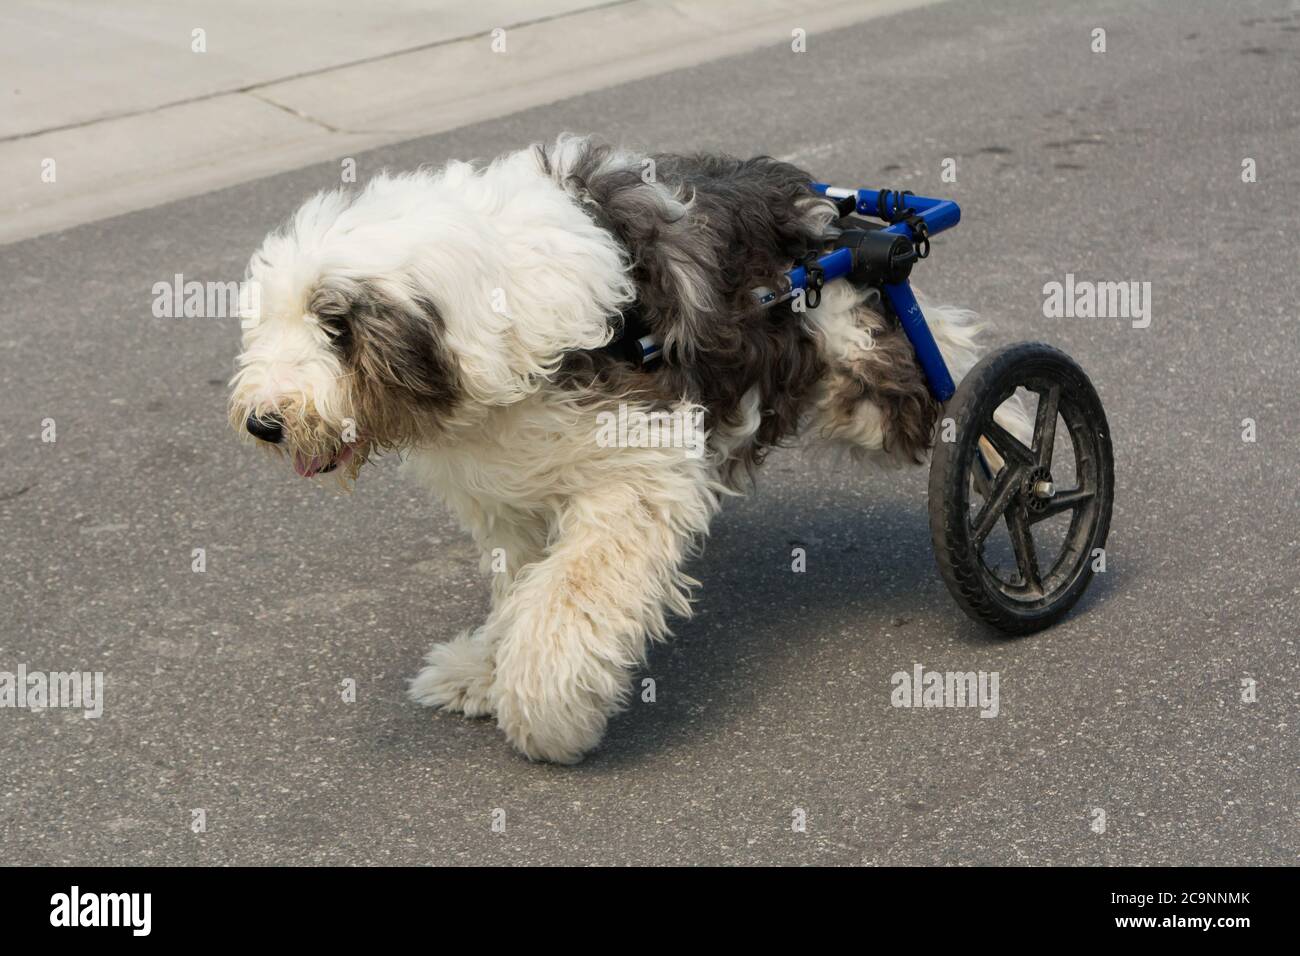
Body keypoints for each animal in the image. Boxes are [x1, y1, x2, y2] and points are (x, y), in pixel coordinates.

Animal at [231, 134, 982, 764]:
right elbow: (520, 585)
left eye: (336, 326)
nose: (264, 423)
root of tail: (824, 207)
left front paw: (544, 706)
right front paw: (483, 670)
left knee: (959, 377)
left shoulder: (638, 467)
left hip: (861, 360)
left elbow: (572, 590)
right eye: (271, 319)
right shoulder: (510, 494)